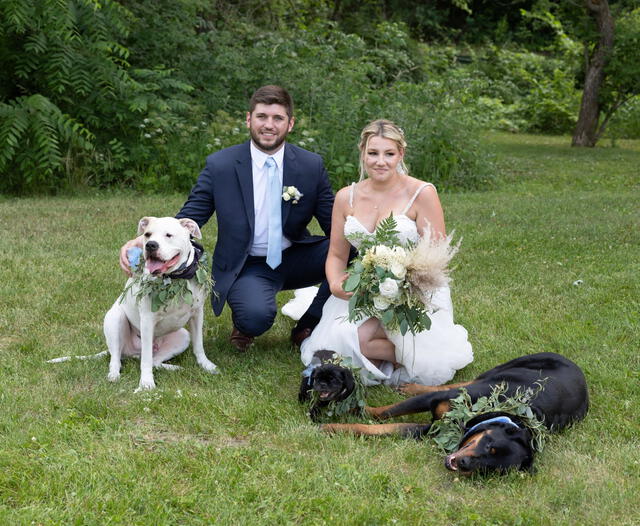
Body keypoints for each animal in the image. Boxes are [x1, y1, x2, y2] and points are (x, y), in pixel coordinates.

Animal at [102, 216, 218, 392]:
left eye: (168, 235)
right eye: (147, 234)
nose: (151, 245)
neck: (174, 277)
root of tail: (132, 352)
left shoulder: (198, 313)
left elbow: (199, 345)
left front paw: (206, 365)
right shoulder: (147, 321)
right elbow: (146, 360)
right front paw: (146, 383)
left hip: (183, 337)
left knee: (155, 361)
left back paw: (173, 368)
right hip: (116, 321)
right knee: (118, 358)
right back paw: (114, 375)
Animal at [322, 356, 588, 476]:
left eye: (490, 469)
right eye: (489, 445)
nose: (463, 464)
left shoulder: (429, 430)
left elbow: (385, 428)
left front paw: (336, 427)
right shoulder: (436, 402)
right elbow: (387, 411)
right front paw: (351, 412)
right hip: (501, 369)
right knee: (460, 382)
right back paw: (411, 386)